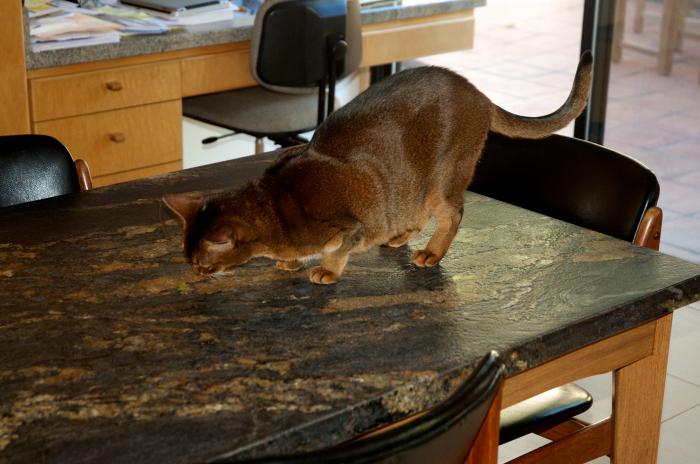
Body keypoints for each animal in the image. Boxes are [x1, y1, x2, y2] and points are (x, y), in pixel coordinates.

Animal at [163, 49, 592, 282]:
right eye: (189, 260)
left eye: (201, 262)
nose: (194, 274)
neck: (276, 205)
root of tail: (478, 93)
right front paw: (289, 262)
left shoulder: (350, 226)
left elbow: (337, 251)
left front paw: (326, 271)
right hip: (409, 184)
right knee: (414, 211)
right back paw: (400, 237)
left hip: (443, 178)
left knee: (452, 213)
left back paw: (431, 254)